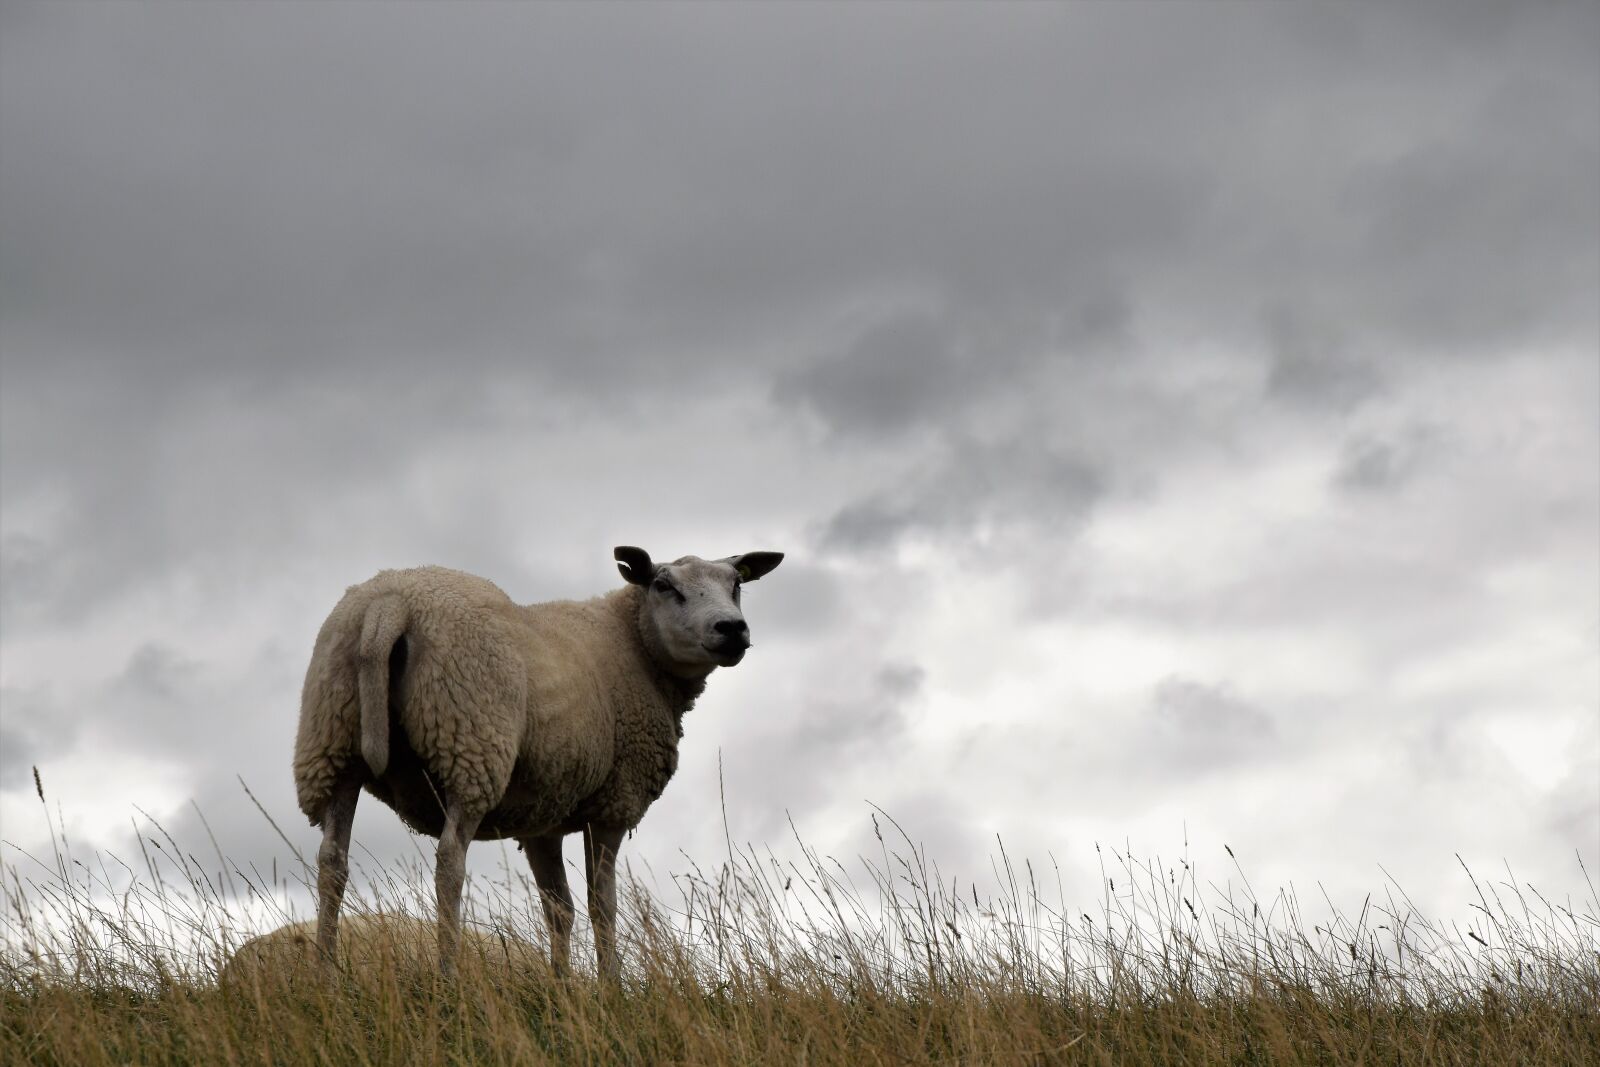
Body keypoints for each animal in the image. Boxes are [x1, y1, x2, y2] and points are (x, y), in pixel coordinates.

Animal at [292, 545, 784, 981]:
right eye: (663, 585)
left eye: (737, 583)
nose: (731, 629)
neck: (636, 646)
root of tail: (389, 603)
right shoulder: (613, 804)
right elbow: (602, 905)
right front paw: (610, 989)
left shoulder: (540, 821)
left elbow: (558, 909)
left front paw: (561, 987)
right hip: (470, 742)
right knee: (449, 861)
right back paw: (447, 978)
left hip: (331, 741)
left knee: (332, 862)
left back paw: (325, 977)